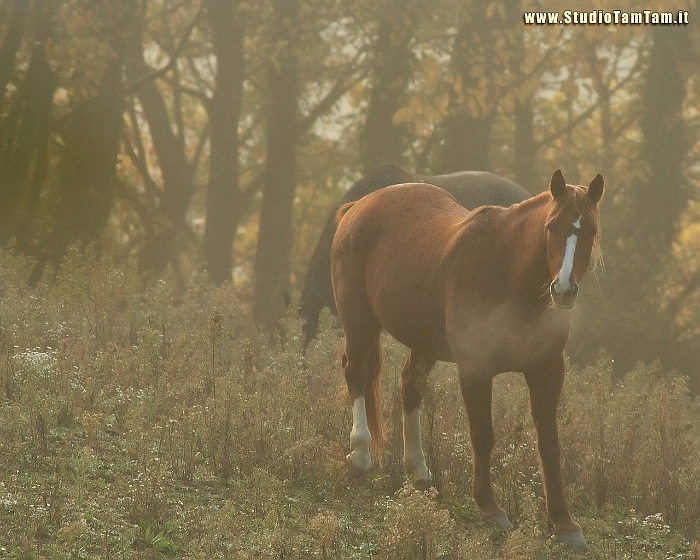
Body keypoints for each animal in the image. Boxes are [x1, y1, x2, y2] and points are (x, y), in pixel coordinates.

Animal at [330, 170, 604, 548]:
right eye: (551, 227)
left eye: (590, 230)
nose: (562, 290)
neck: (509, 276)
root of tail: (357, 207)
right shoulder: (476, 369)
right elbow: (483, 435)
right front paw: (491, 508)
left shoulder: (547, 370)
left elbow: (550, 444)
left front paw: (564, 523)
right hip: (360, 323)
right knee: (356, 373)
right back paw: (359, 457)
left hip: (423, 341)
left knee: (409, 386)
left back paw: (419, 473)